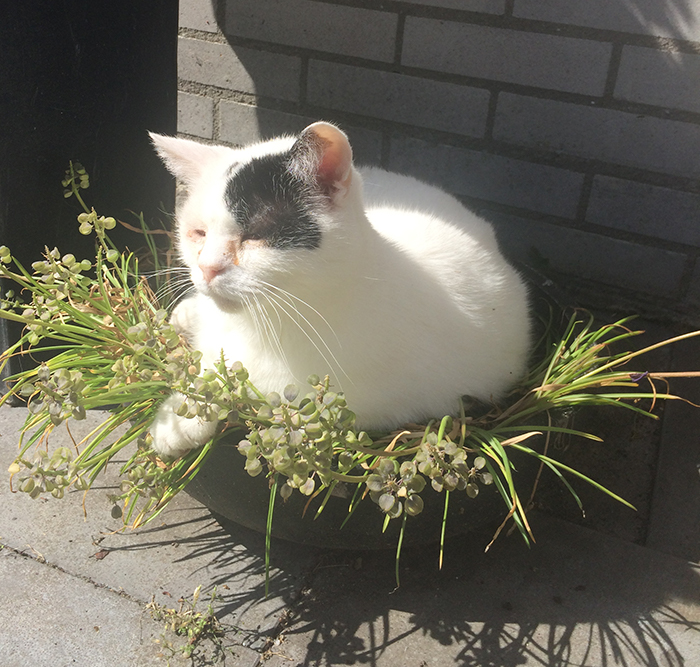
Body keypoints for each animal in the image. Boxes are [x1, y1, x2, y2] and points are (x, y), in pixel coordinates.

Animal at [149, 121, 532, 460]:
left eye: (256, 234)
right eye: (198, 233)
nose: (207, 268)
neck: (262, 323)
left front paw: (185, 420)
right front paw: (179, 417)